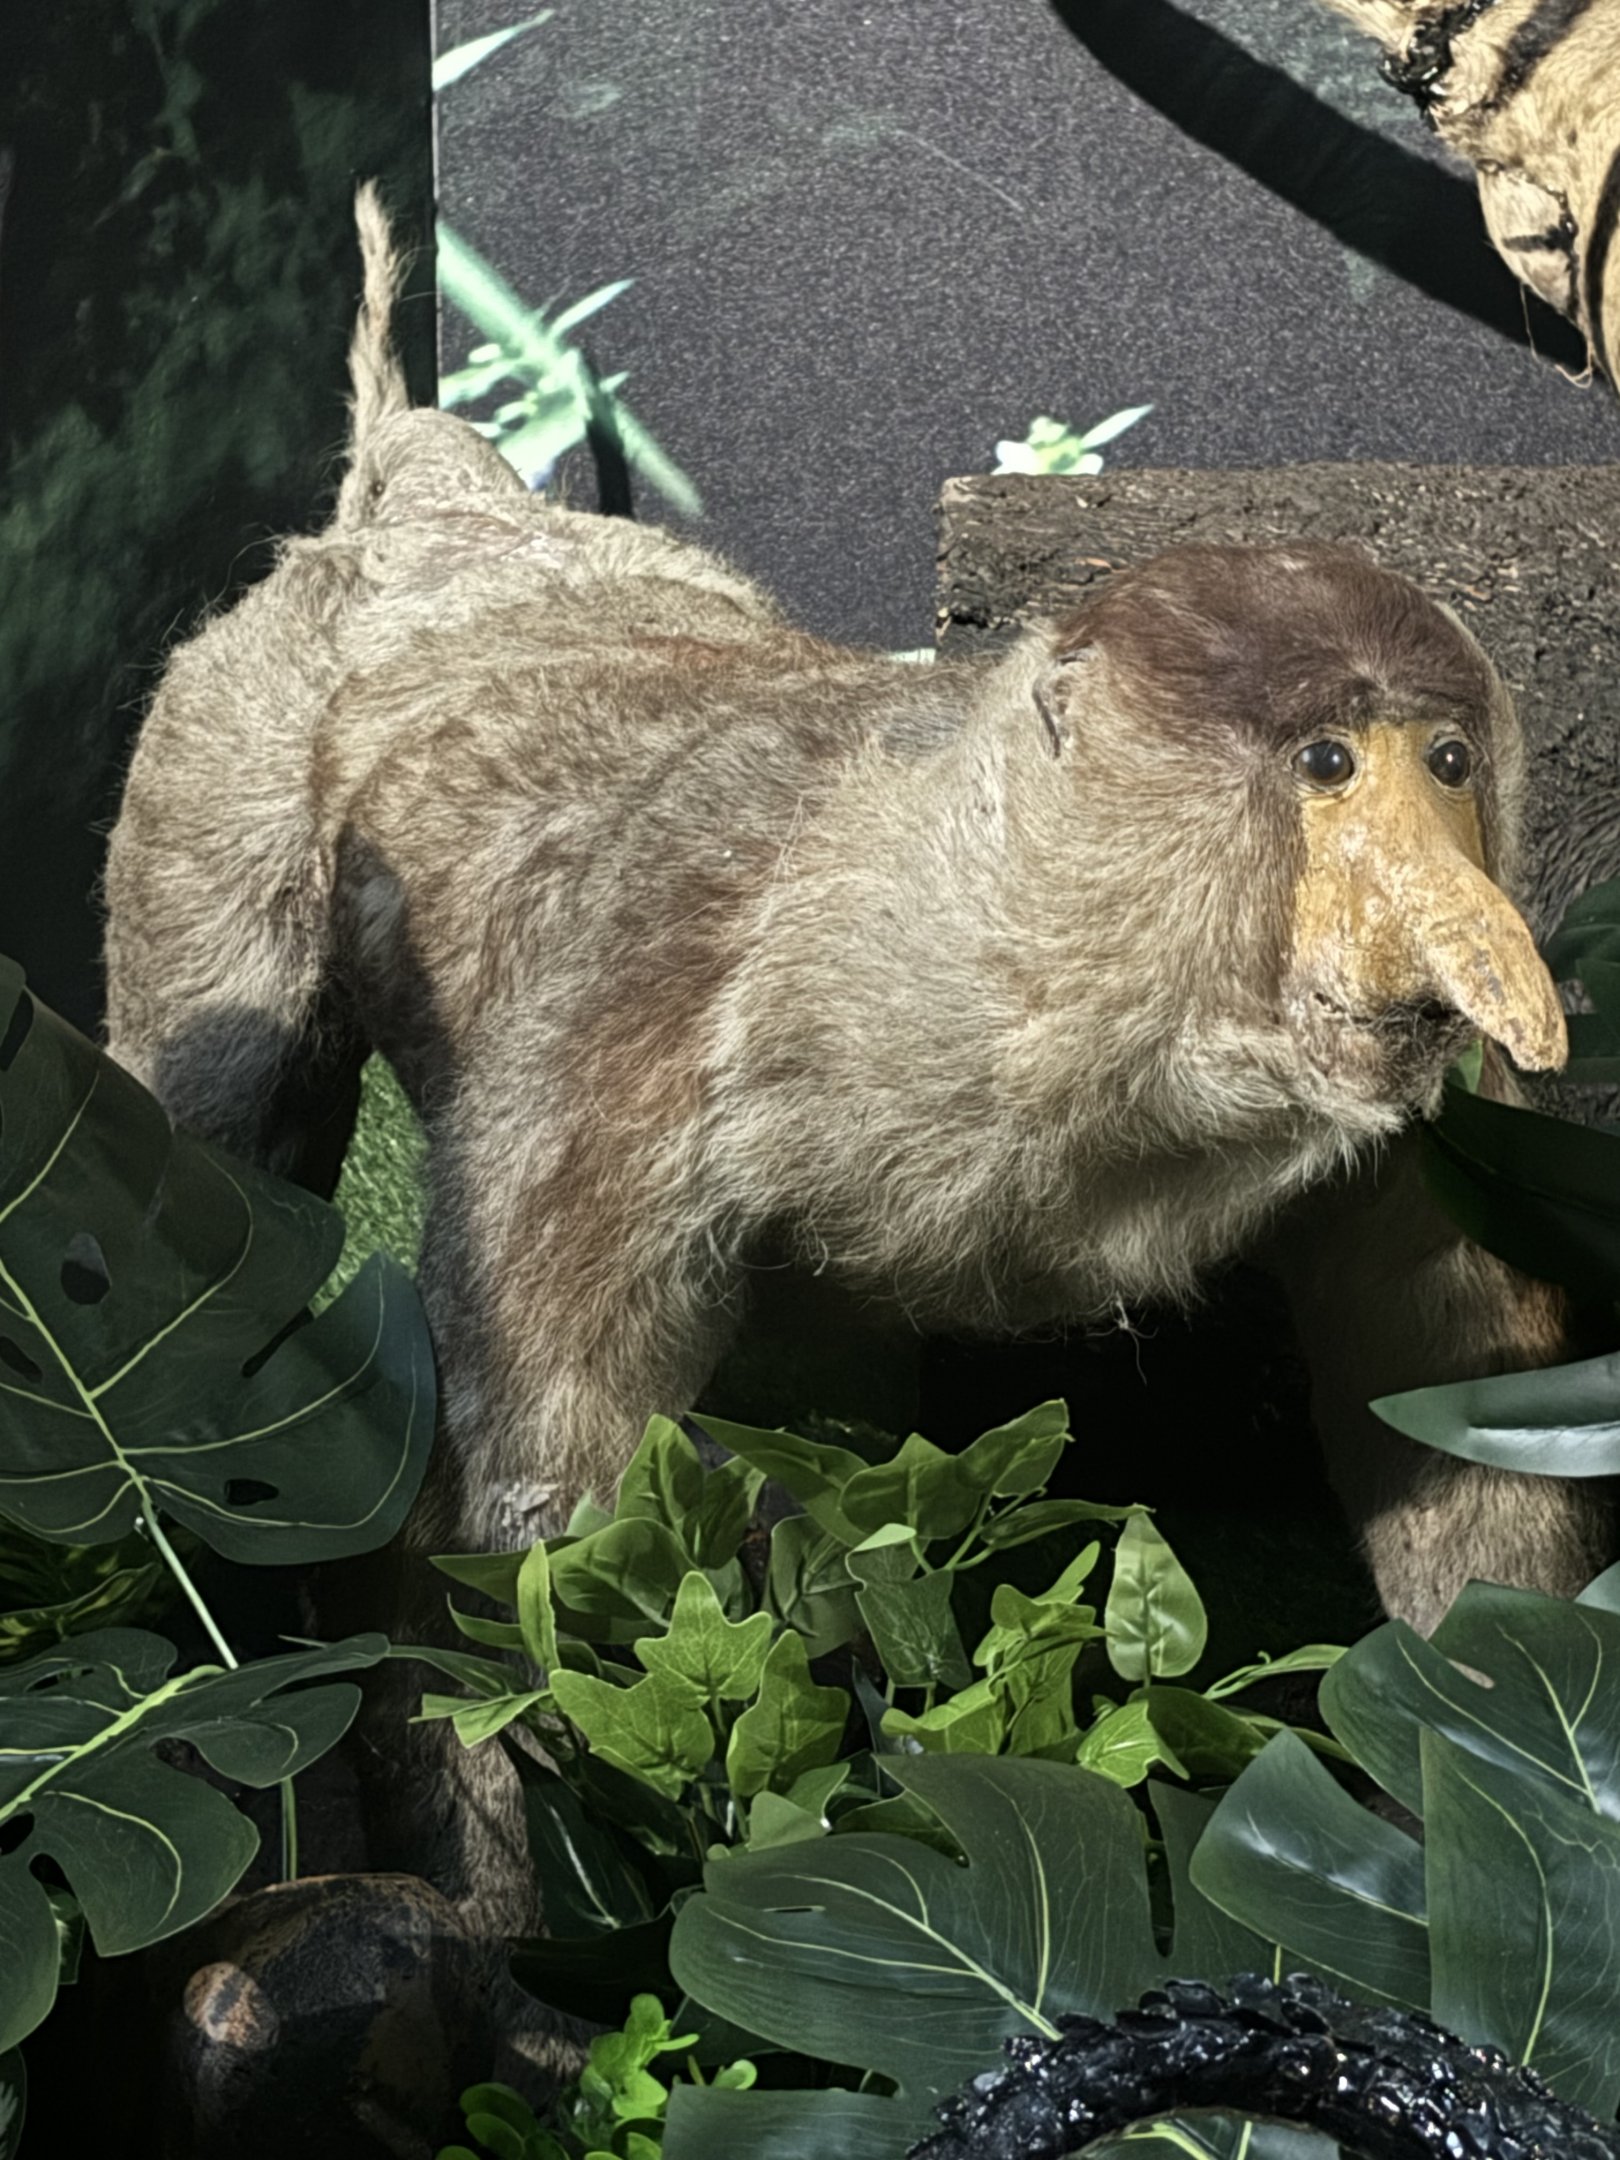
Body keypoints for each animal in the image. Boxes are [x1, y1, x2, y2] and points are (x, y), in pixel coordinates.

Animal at [103, 190, 1610, 1930]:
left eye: (1448, 758)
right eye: (1325, 762)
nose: (1470, 942)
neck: (1026, 965)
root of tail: (426, 511)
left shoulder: (1439, 1121)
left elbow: (1454, 1399)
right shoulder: (644, 1010)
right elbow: (554, 1508)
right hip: (219, 781)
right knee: (229, 1156)